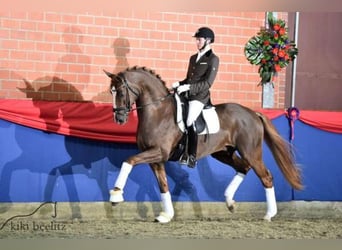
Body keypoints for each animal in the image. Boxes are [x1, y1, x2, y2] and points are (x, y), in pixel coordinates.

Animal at [104, 66, 302, 223]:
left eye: (120, 91)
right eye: (111, 92)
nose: (119, 119)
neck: (158, 112)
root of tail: (253, 113)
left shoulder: (159, 152)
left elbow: (128, 160)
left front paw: (116, 195)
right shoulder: (155, 158)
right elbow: (163, 185)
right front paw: (166, 215)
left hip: (251, 152)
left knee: (266, 177)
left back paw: (269, 214)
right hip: (224, 153)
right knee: (243, 168)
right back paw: (230, 202)